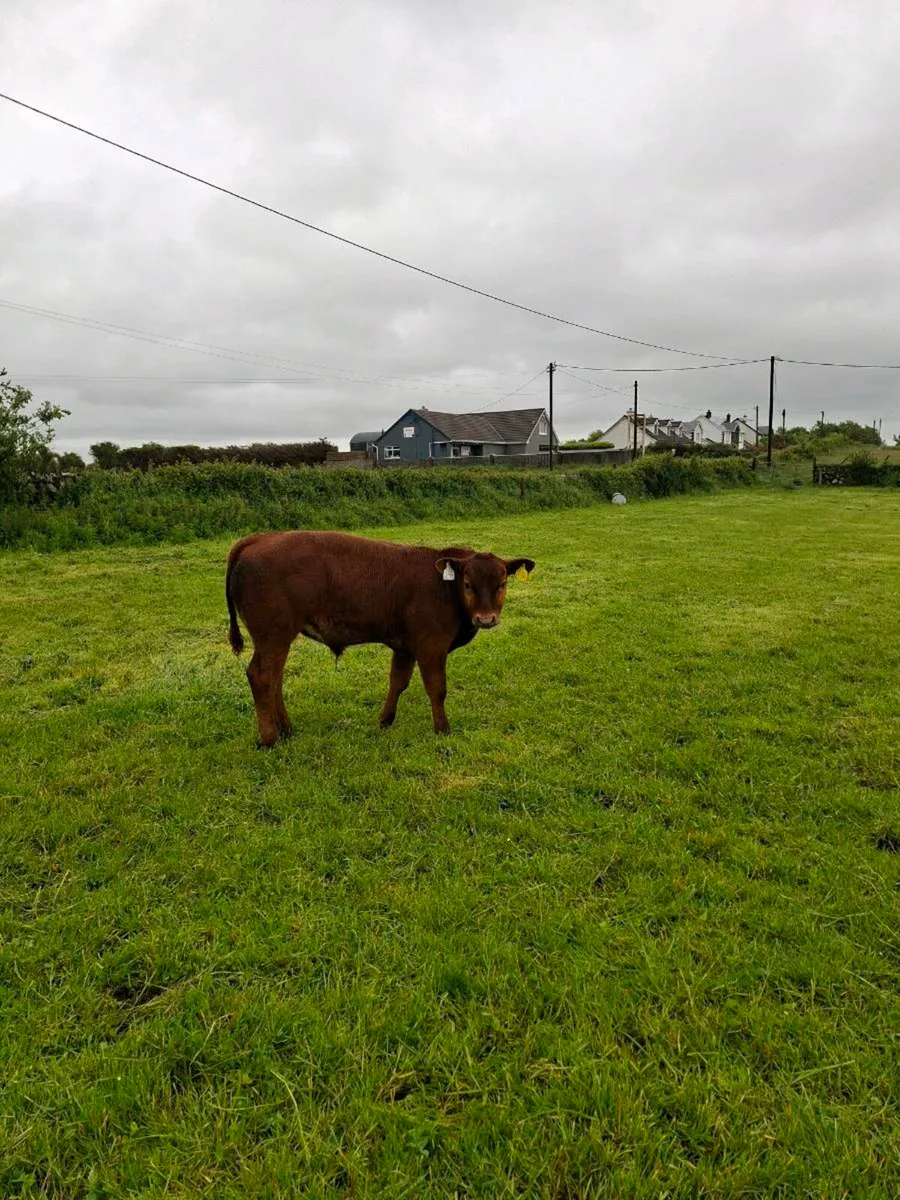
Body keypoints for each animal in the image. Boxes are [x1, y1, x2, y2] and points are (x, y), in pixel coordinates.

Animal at [225, 531, 535, 746]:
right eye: (469, 584)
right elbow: (437, 688)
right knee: (263, 677)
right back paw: (269, 738)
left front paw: (385, 721)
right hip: (273, 634)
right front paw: (442, 729)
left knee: (274, 679)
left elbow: (398, 682)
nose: (486, 619)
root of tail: (258, 538)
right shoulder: (431, 645)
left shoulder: (405, 647)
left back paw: (287, 729)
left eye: (502, 584)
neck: (443, 585)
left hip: (277, 638)